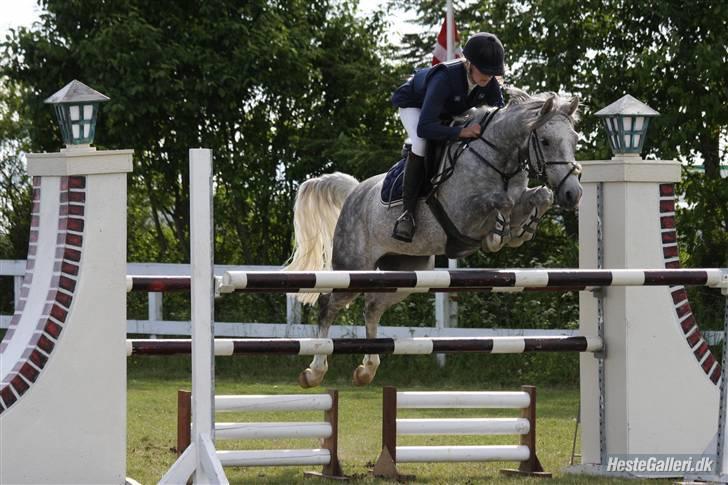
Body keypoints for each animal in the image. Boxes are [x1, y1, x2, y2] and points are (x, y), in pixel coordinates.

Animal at [285, 88, 583, 388]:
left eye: (574, 140)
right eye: (545, 141)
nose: (573, 194)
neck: (498, 159)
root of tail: (355, 191)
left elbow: (541, 196)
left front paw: (523, 230)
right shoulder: (462, 213)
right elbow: (502, 201)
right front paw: (498, 235)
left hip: (405, 272)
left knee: (372, 307)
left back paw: (366, 369)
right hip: (354, 269)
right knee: (328, 304)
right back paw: (314, 372)